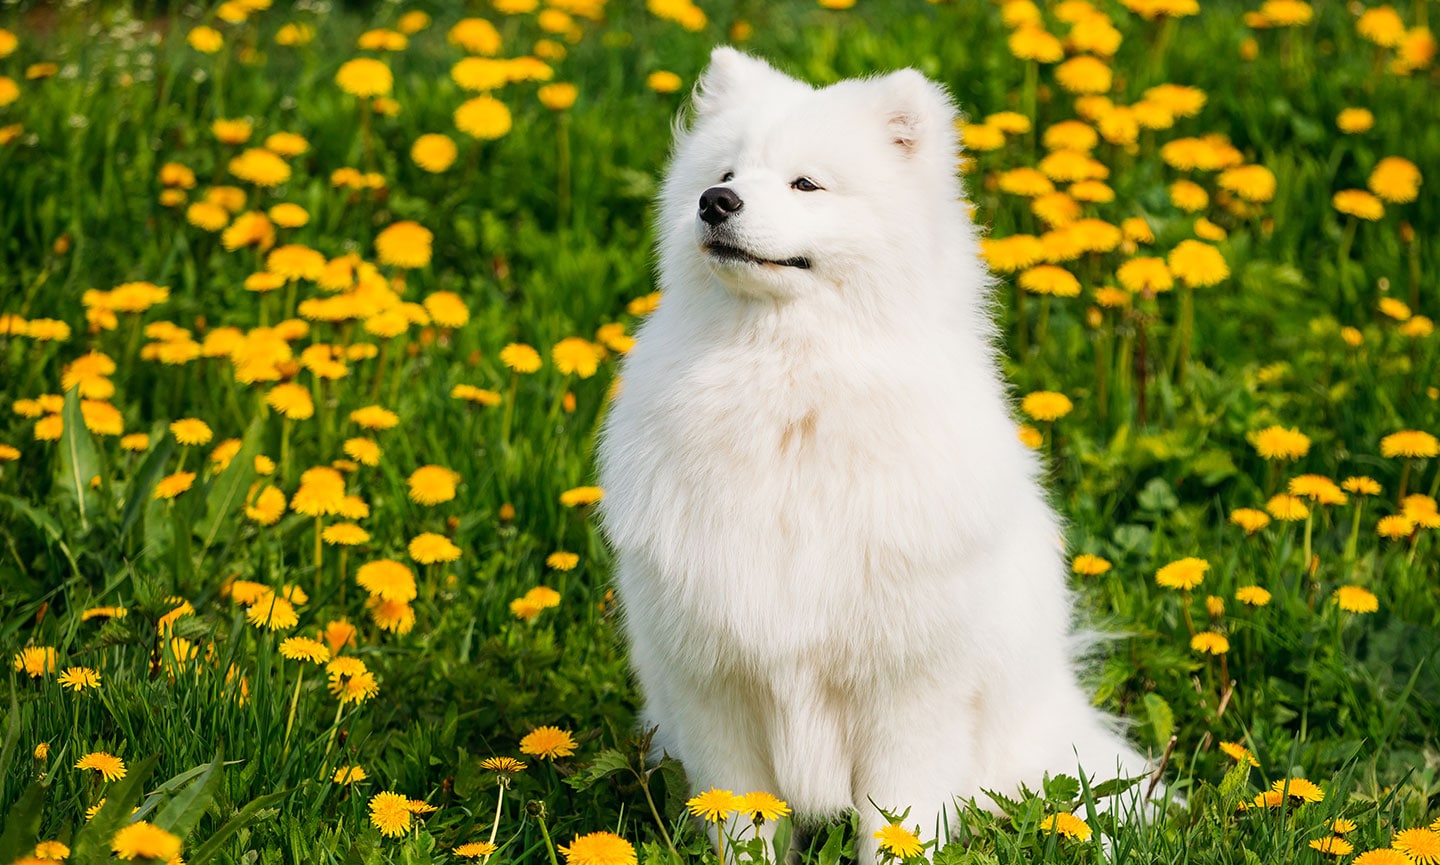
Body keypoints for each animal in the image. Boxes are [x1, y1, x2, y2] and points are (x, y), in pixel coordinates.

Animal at [596, 48, 1146, 863]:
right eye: (724, 170)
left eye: (806, 183)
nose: (715, 202)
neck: (789, 395)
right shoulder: (715, 684)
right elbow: (742, 819)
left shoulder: (908, 690)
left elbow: (899, 822)